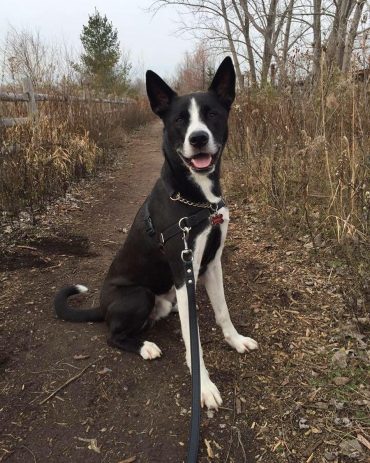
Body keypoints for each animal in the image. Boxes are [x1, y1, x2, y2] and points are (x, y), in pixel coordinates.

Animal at [55, 57, 258, 410]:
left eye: (212, 114)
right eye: (179, 120)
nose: (198, 138)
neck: (196, 199)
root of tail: (102, 306)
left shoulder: (212, 263)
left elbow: (223, 311)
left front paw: (236, 341)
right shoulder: (183, 267)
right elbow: (194, 340)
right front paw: (204, 387)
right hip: (138, 295)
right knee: (113, 335)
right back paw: (144, 346)